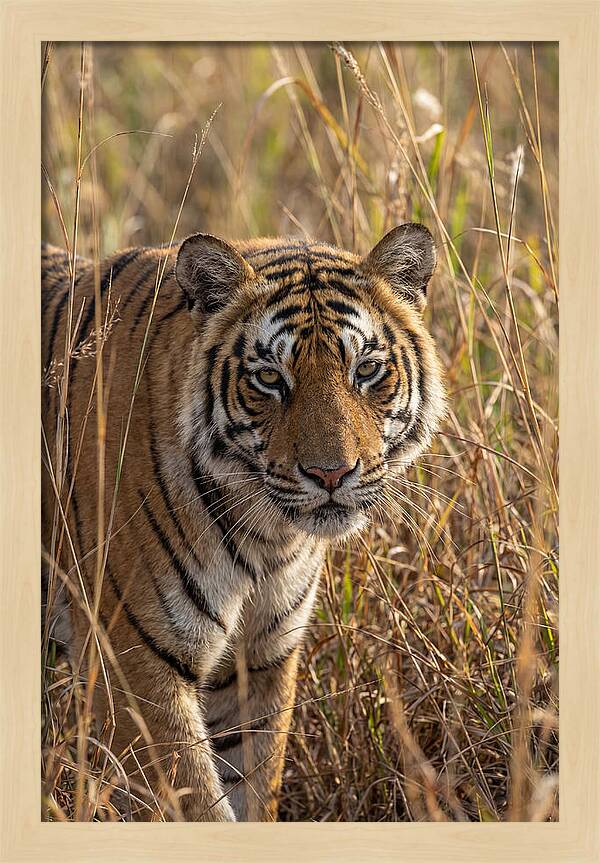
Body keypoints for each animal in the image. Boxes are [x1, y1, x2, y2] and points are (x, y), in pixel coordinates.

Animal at [42, 223, 445, 822]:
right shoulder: (133, 665)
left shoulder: (260, 660)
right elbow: (195, 804)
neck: (267, 539)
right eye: (270, 378)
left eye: (367, 370)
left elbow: (254, 786)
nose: (331, 473)